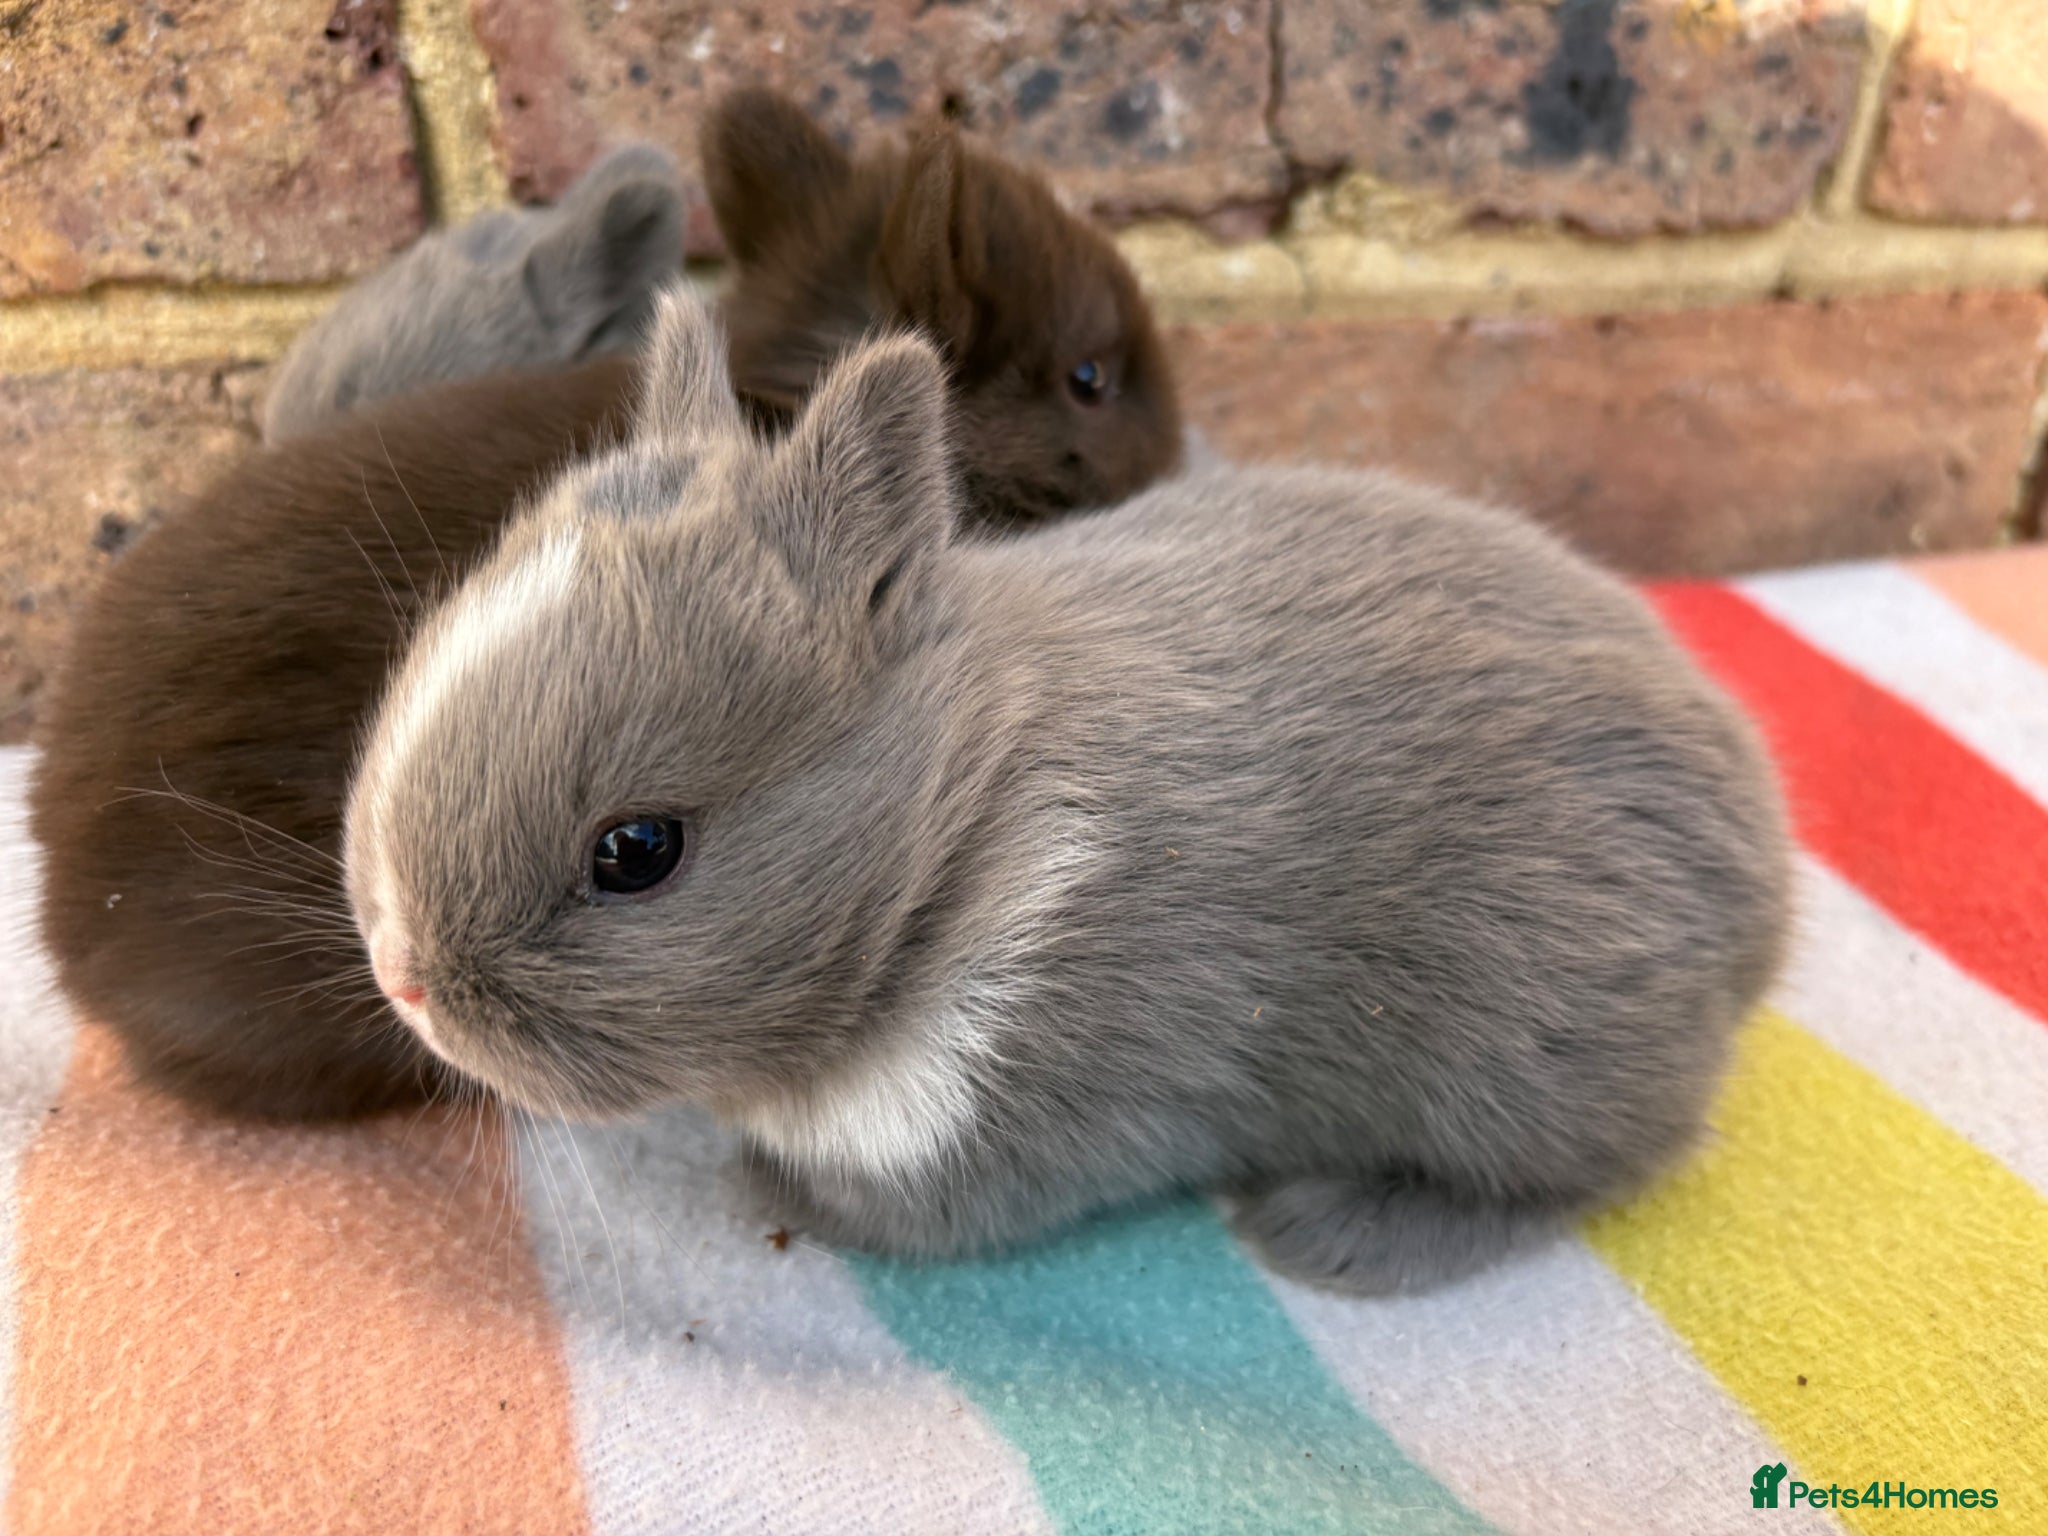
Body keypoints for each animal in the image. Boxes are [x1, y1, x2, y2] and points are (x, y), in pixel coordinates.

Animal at [340, 289, 1792, 1295]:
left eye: (636, 850)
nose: (403, 981)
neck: (952, 842)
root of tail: (1760, 906)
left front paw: (758, 1183)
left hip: (1525, 1066)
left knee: (1606, 1167)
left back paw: (1331, 1236)